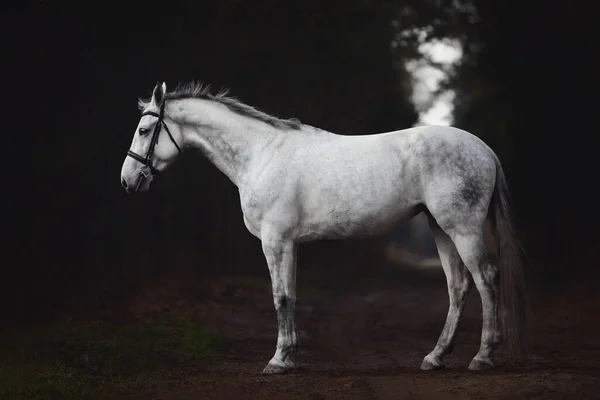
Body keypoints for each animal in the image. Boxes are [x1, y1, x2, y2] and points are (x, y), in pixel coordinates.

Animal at [118, 81, 524, 376]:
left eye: (145, 130)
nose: (128, 180)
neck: (261, 154)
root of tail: (484, 149)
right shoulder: (290, 243)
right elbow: (291, 295)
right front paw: (289, 355)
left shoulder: (275, 241)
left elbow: (280, 297)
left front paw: (278, 361)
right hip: (441, 228)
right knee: (458, 287)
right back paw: (435, 357)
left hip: (462, 228)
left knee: (486, 279)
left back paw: (482, 357)